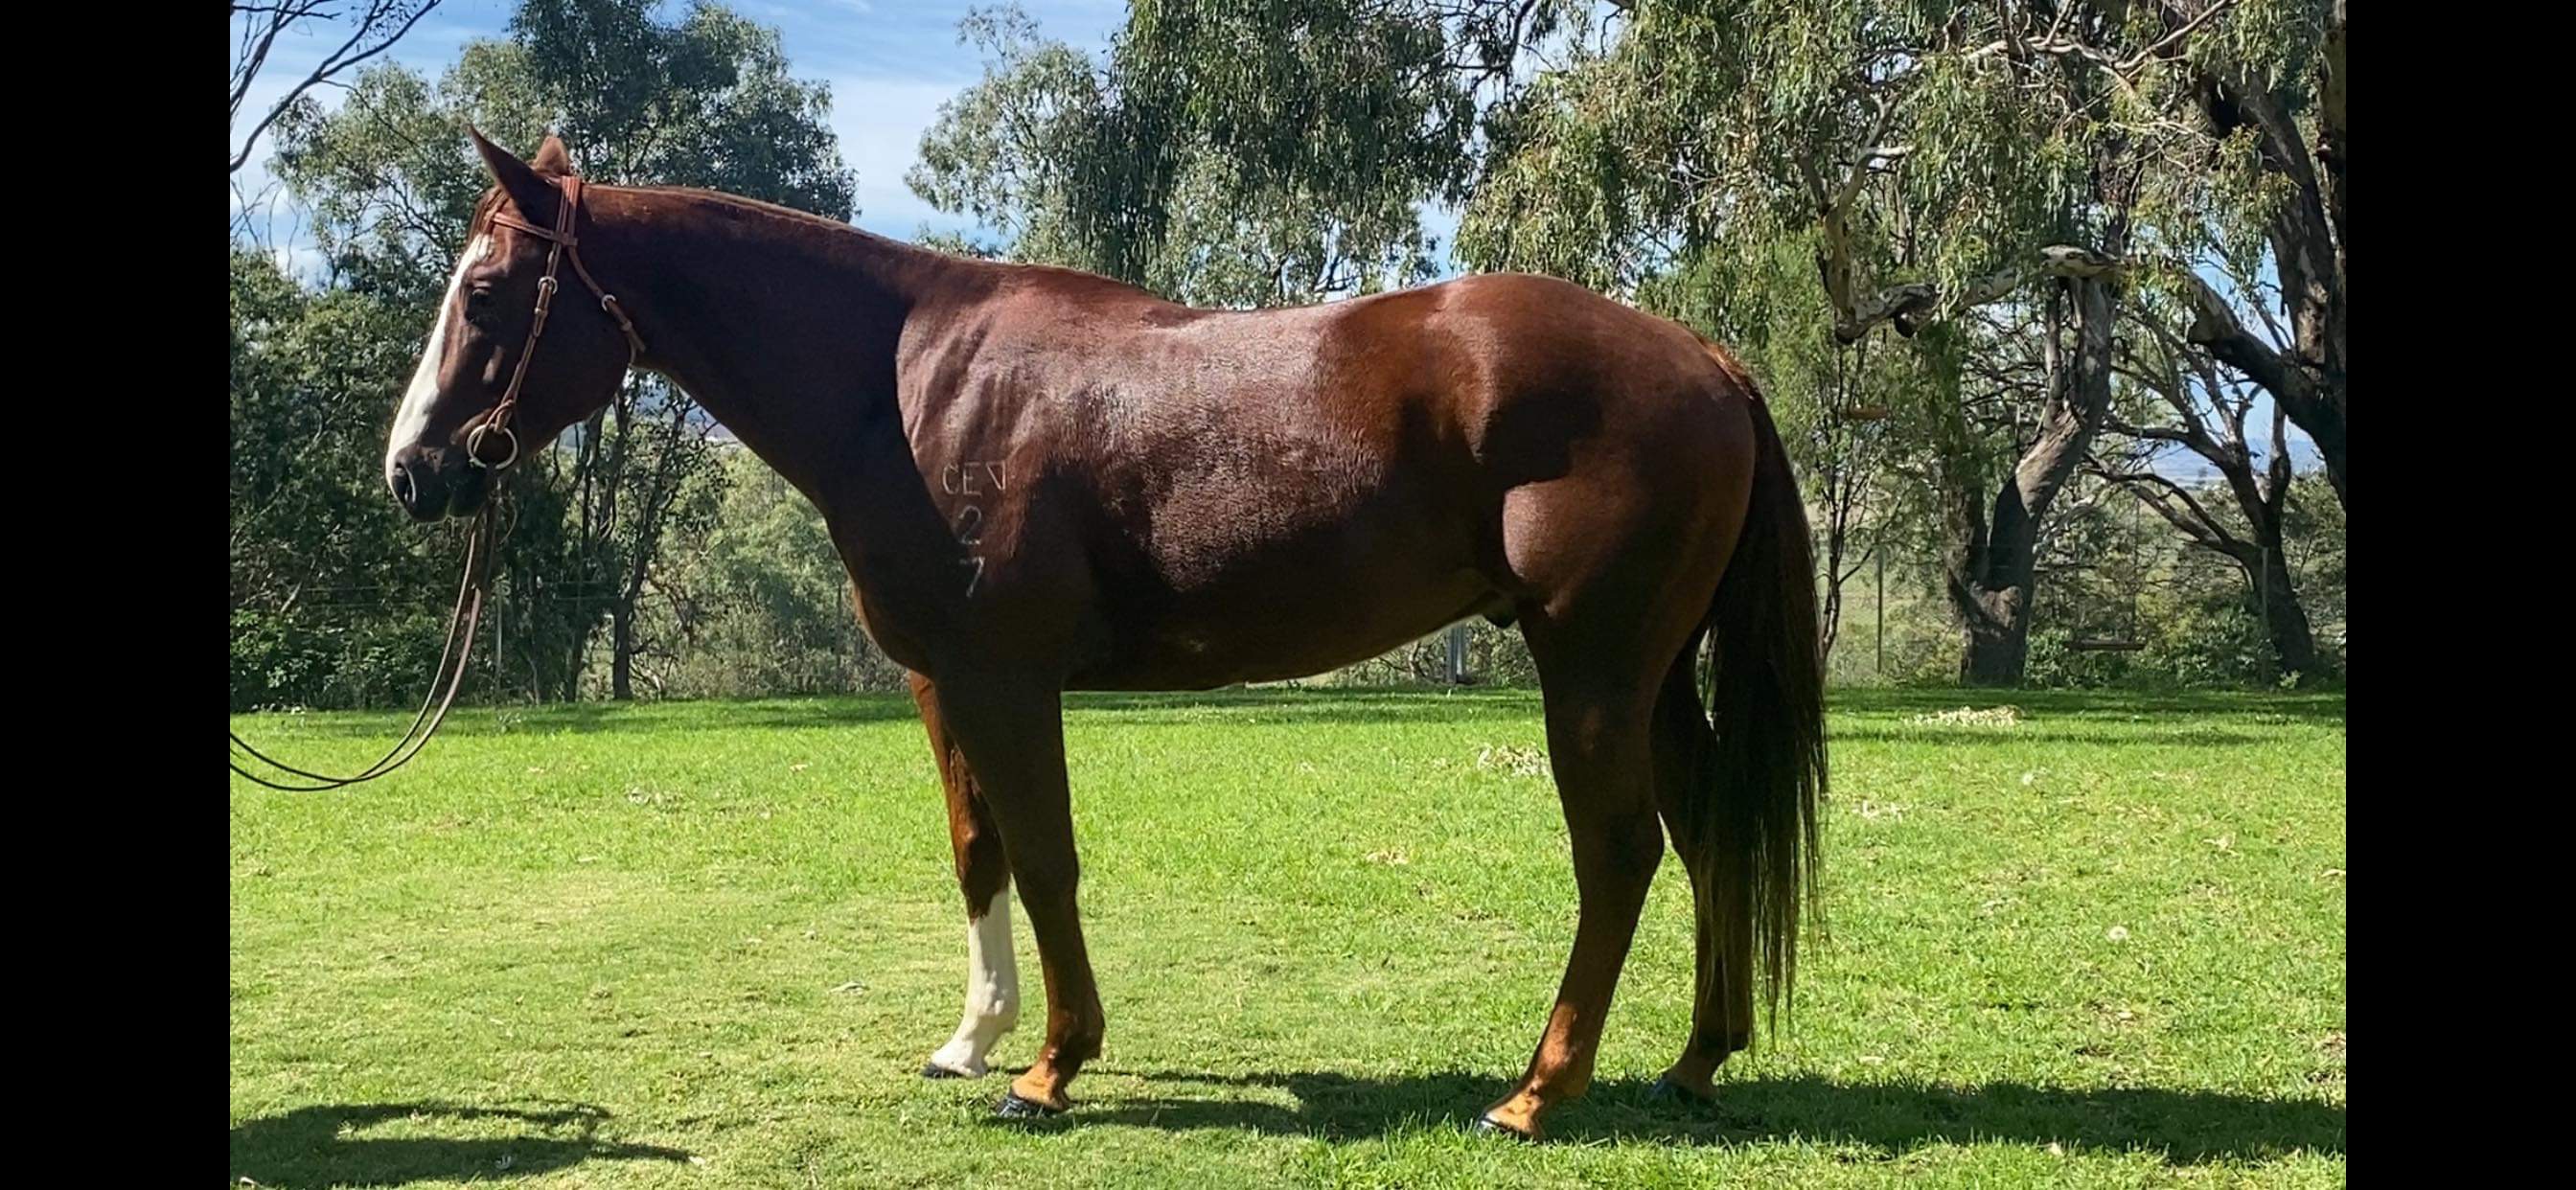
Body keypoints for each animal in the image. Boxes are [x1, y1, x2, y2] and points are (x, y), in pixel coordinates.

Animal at [383, 130, 1826, 1141]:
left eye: (490, 290)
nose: (412, 472)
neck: (903, 383)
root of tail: (1707, 358)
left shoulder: (1007, 678)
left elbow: (1047, 859)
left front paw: (1049, 1068)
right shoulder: (940, 680)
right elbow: (978, 855)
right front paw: (971, 1039)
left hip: (1592, 669)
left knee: (1621, 853)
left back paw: (1535, 1093)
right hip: (1656, 677)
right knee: (1709, 830)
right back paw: (1694, 1060)